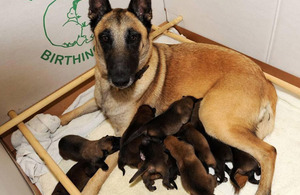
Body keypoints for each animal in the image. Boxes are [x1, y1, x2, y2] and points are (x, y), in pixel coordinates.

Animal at [59, 0, 278, 193]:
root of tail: (265, 81)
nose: (120, 79)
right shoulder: (97, 101)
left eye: (134, 38)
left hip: (213, 119)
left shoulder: (122, 135)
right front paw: (56, 120)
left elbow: (96, 180)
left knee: (269, 152)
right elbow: (75, 110)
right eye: (104, 38)